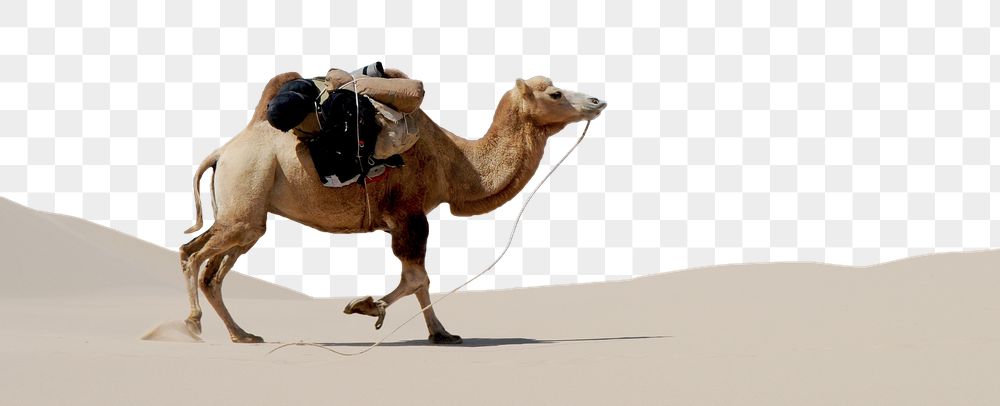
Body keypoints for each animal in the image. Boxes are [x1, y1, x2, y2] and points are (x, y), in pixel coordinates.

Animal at [180, 73, 607, 344]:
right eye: (555, 94)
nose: (597, 100)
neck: (456, 162)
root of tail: (222, 152)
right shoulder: (409, 214)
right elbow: (417, 278)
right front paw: (366, 307)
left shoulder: (407, 219)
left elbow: (420, 281)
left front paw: (441, 334)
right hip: (246, 190)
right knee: (194, 256)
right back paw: (194, 324)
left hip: (247, 213)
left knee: (208, 268)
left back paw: (242, 334)